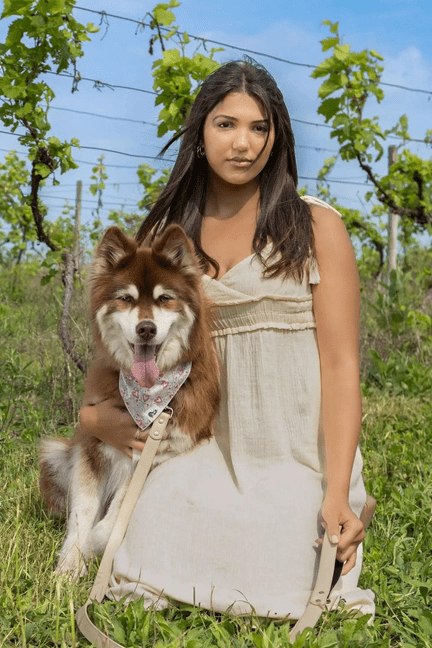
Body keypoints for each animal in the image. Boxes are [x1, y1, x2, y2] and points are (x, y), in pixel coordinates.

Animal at [39, 224, 220, 578]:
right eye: (125, 299)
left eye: (165, 298)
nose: (146, 329)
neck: (144, 398)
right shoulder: (91, 444)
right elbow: (82, 510)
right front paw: (69, 566)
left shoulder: (159, 453)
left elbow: (110, 524)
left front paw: (92, 552)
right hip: (53, 453)